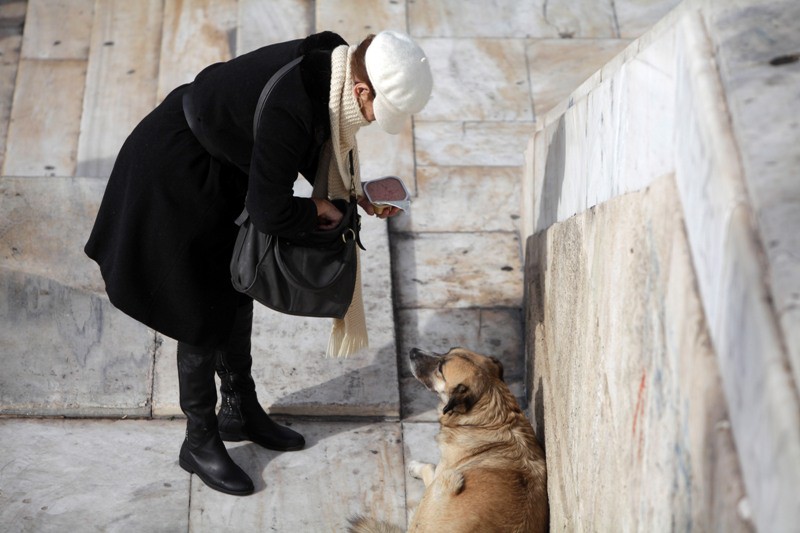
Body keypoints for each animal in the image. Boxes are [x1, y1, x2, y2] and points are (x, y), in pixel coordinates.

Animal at [350, 348, 552, 528]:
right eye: (447, 350)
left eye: (440, 369)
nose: (412, 351)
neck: (492, 418)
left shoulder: (441, 472)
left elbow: (429, 468)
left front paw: (415, 467)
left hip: (447, 481)